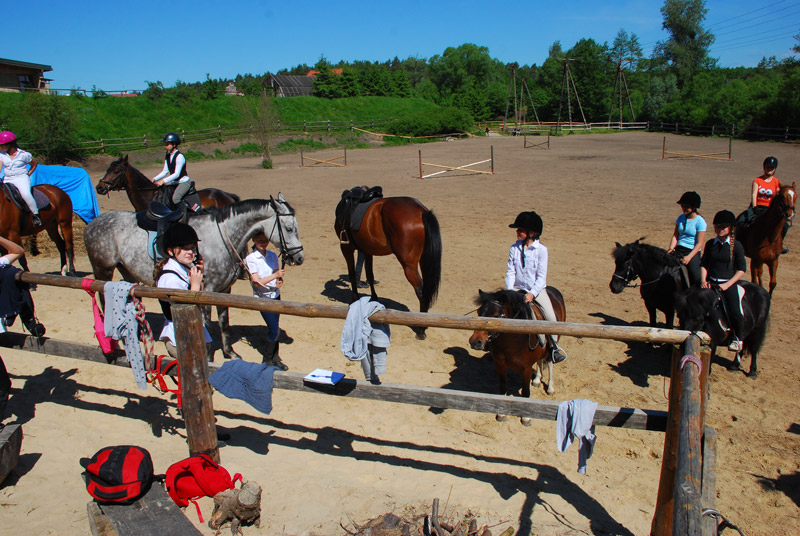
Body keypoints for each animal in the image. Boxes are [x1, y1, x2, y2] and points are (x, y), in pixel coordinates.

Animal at [332, 197, 440, 340]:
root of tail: (422, 211)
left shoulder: (346, 248)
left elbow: (352, 274)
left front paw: (354, 299)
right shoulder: (367, 250)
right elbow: (369, 274)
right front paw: (373, 298)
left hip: (409, 266)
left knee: (421, 291)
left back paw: (421, 329)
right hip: (423, 261)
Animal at [466, 286, 564, 426]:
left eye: (496, 316)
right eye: (479, 312)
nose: (475, 342)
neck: (513, 338)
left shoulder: (526, 368)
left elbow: (526, 392)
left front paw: (526, 418)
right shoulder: (500, 364)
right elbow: (503, 387)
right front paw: (502, 414)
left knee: (550, 361)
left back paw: (550, 388)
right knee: (540, 361)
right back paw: (537, 380)